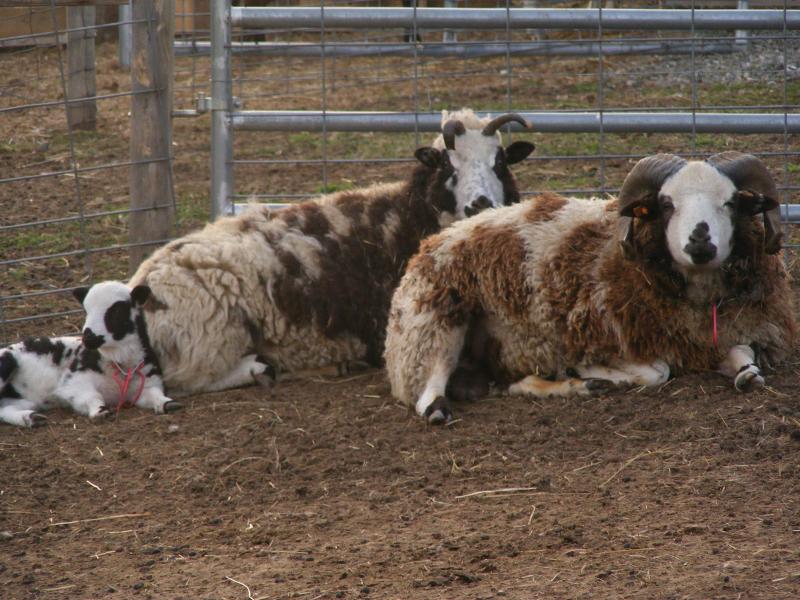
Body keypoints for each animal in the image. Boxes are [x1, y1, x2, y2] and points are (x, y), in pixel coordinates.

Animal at [0, 281, 179, 428]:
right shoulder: (73, 382)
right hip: (6, 361)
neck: (119, 362)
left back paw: (31, 418)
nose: (89, 336)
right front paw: (100, 411)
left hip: (23, 399)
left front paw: (168, 404)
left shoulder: (149, 383)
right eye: (86, 310)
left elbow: (155, 396)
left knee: (4, 409)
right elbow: (92, 396)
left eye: (117, 310)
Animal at [129, 109, 535, 395]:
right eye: (448, 164)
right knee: (189, 379)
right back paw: (261, 369)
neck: (409, 217)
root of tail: (139, 285)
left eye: (500, 161)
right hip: (208, 339)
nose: (480, 204)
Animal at [384, 151, 796, 423]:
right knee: (427, 397)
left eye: (730, 202)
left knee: (505, 382)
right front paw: (595, 371)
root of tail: (431, 243)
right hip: (436, 322)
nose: (700, 242)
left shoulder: (708, 337)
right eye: (666, 204)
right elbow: (657, 372)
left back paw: (566, 385)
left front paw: (746, 371)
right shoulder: (607, 335)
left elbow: (745, 359)